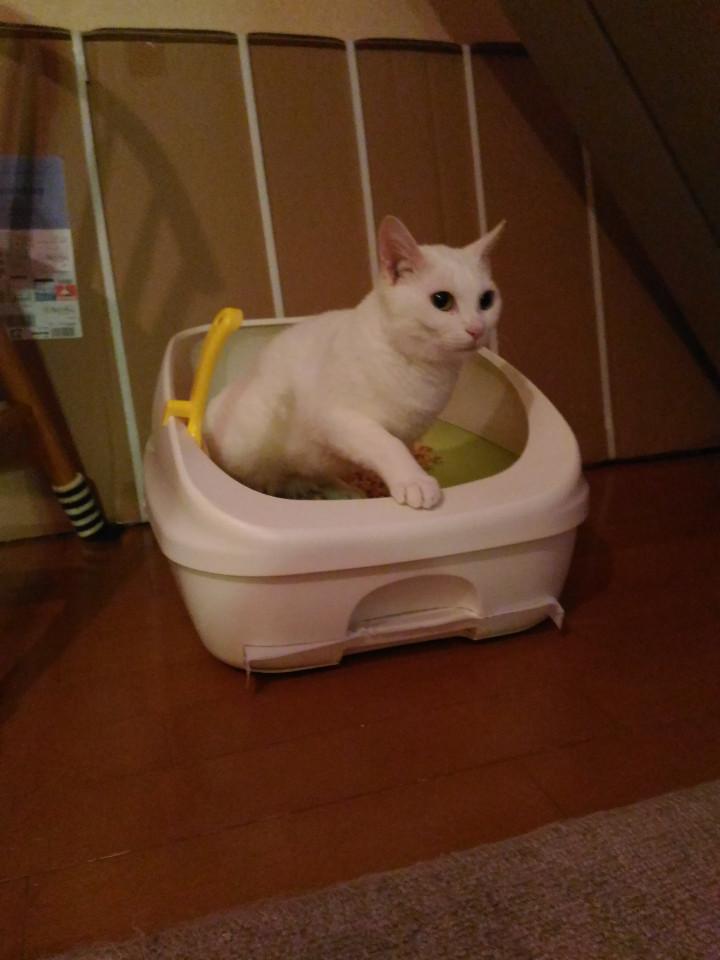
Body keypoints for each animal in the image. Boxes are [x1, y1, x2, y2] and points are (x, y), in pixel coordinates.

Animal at [204, 215, 504, 509]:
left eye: (486, 300)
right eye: (442, 300)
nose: (477, 329)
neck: (422, 369)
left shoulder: (409, 433)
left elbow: (401, 447)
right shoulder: (340, 419)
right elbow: (387, 443)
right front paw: (414, 480)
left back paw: (340, 490)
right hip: (255, 433)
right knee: (270, 478)